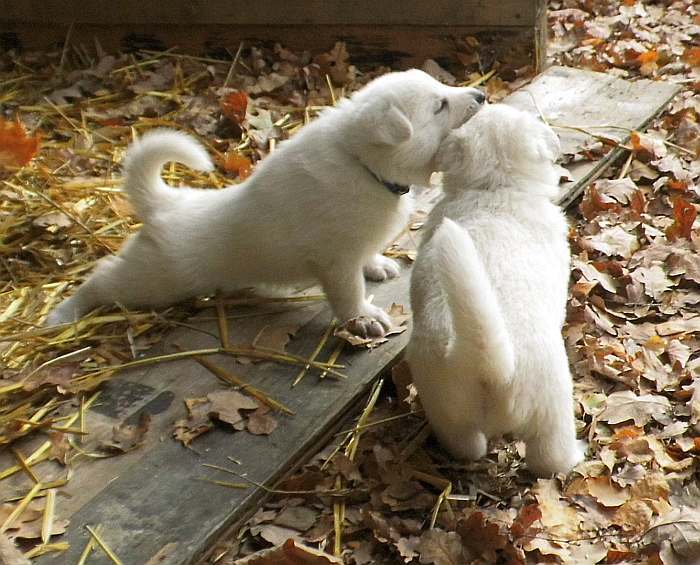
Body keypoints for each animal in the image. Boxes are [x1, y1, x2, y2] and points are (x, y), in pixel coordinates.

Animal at [46, 71, 486, 334]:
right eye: (439, 105)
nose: (481, 94)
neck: (362, 165)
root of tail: (164, 203)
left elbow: (367, 258)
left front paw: (377, 265)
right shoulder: (335, 261)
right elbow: (348, 294)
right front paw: (364, 318)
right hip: (155, 278)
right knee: (103, 277)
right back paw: (61, 315)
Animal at [408, 103, 584, 474]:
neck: (494, 187)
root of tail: (490, 367)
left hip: (447, 409)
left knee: (465, 446)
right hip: (552, 406)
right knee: (550, 459)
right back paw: (576, 453)